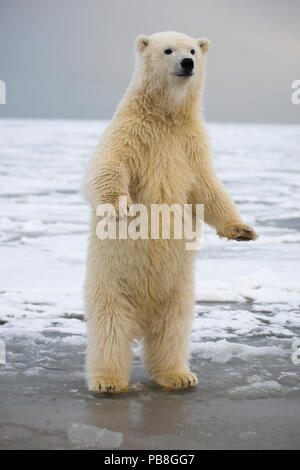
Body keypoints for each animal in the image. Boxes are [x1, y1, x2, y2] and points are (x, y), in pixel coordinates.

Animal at [83, 31, 256, 392]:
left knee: (172, 329)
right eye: (167, 50)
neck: (165, 116)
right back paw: (108, 381)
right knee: (110, 328)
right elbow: (108, 166)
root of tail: (141, 319)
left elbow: (208, 188)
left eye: (192, 50)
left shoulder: (191, 144)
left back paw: (178, 375)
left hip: (179, 289)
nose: (187, 63)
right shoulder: (130, 132)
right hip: (111, 282)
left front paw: (242, 231)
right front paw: (119, 207)